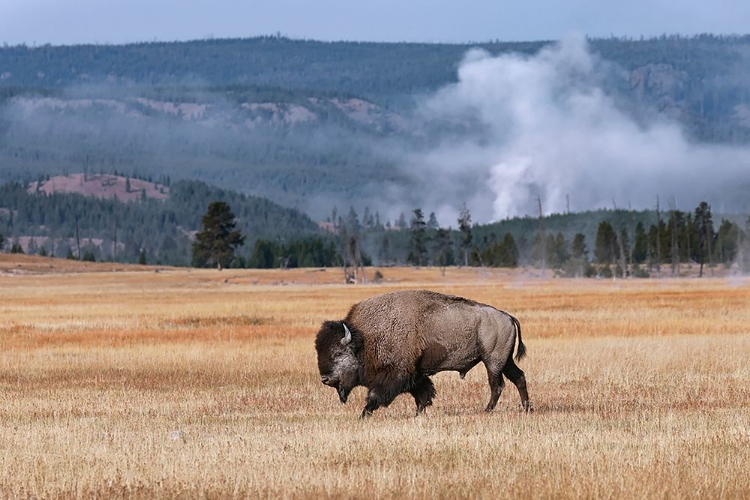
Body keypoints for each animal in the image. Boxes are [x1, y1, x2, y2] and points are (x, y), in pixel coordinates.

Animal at [314, 290, 532, 418]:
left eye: (338, 353)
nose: (325, 379)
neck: (365, 339)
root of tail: (507, 316)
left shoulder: (396, 374)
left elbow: (377, 395)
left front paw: (363, 415)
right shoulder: (415, 374)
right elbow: (422, 392)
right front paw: (419, 412)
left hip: (492, 361)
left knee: (497, 385)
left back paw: (487, 410)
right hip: (505, 361)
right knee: (519, 377)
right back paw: (527, 408)